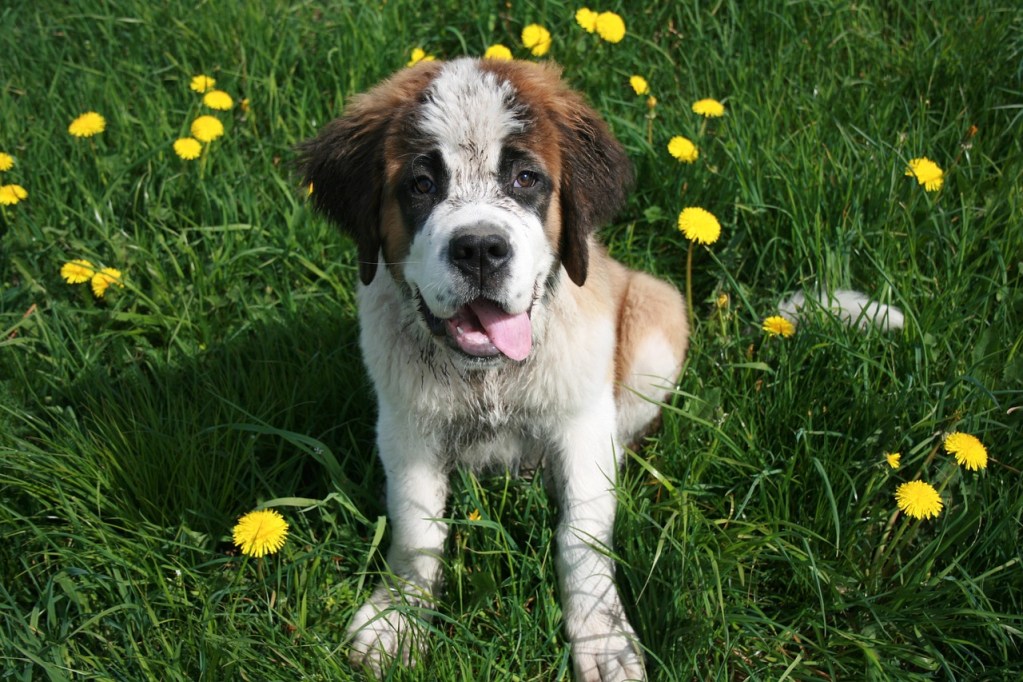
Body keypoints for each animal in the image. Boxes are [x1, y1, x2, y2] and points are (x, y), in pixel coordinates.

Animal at [300, 58, 687, 682]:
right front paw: (399, 617)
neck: (489, 375)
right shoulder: (408, 429)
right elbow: (417, 528)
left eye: (526, 179)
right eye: (422, 185)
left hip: (657, 316)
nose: (480, 248)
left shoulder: (582, 425)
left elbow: (582, 538)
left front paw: (603, 638)